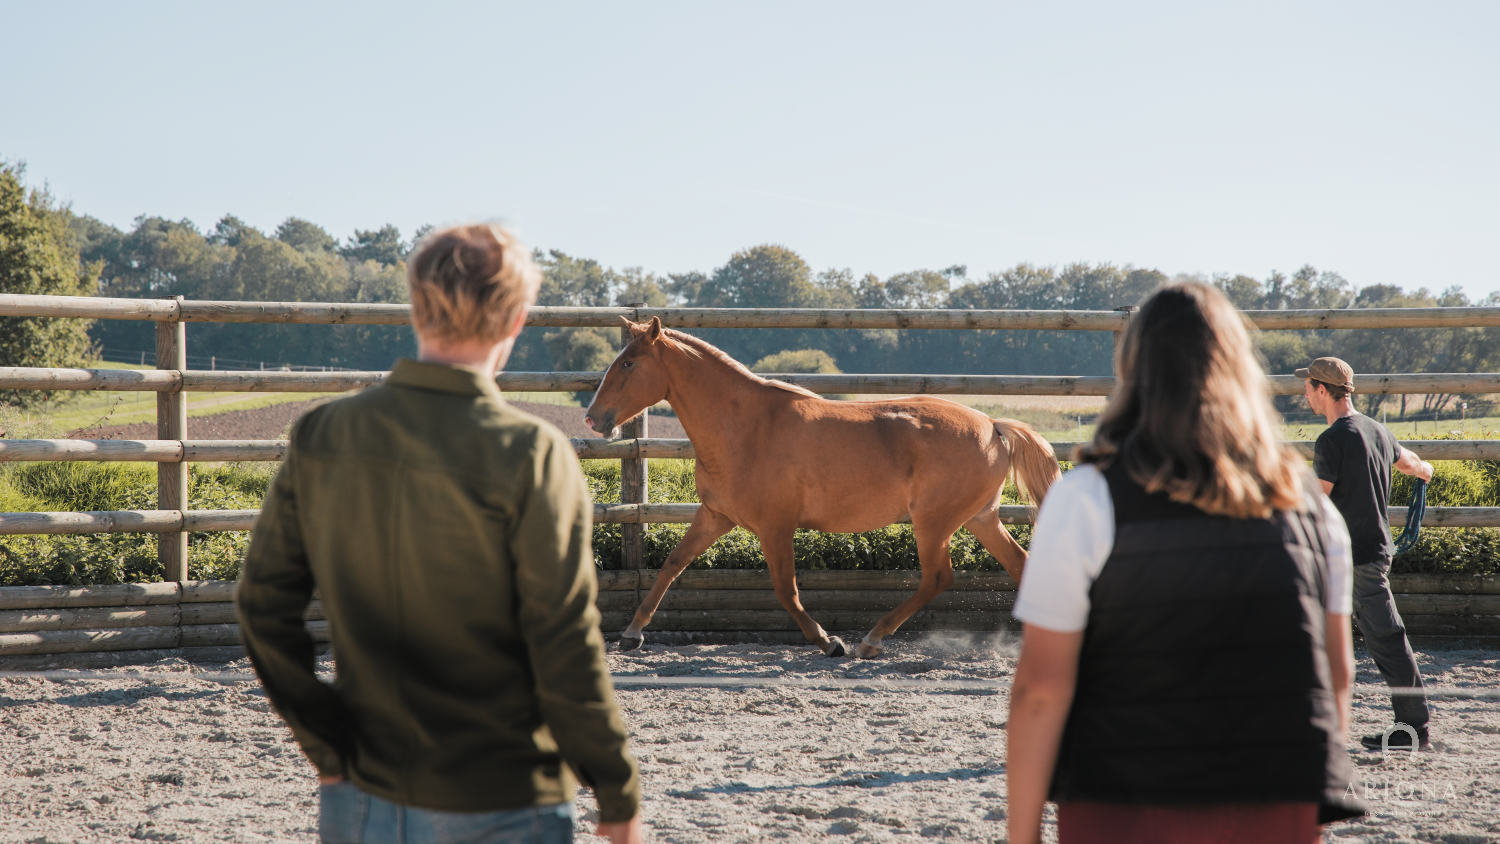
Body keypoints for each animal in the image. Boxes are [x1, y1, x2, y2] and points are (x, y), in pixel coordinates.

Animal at [585, 317, 1060, 658]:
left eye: (628, 363)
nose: (592, 417)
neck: (746, 428)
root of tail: (993, 426)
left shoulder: (775, 527)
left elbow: (786, 588)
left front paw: (829, 641)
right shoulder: (715, 516)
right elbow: (672, 565)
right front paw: (632, 633)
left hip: (934, 522)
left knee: (938, 577)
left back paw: (870, 639)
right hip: (981, 518)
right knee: (1018, 566)